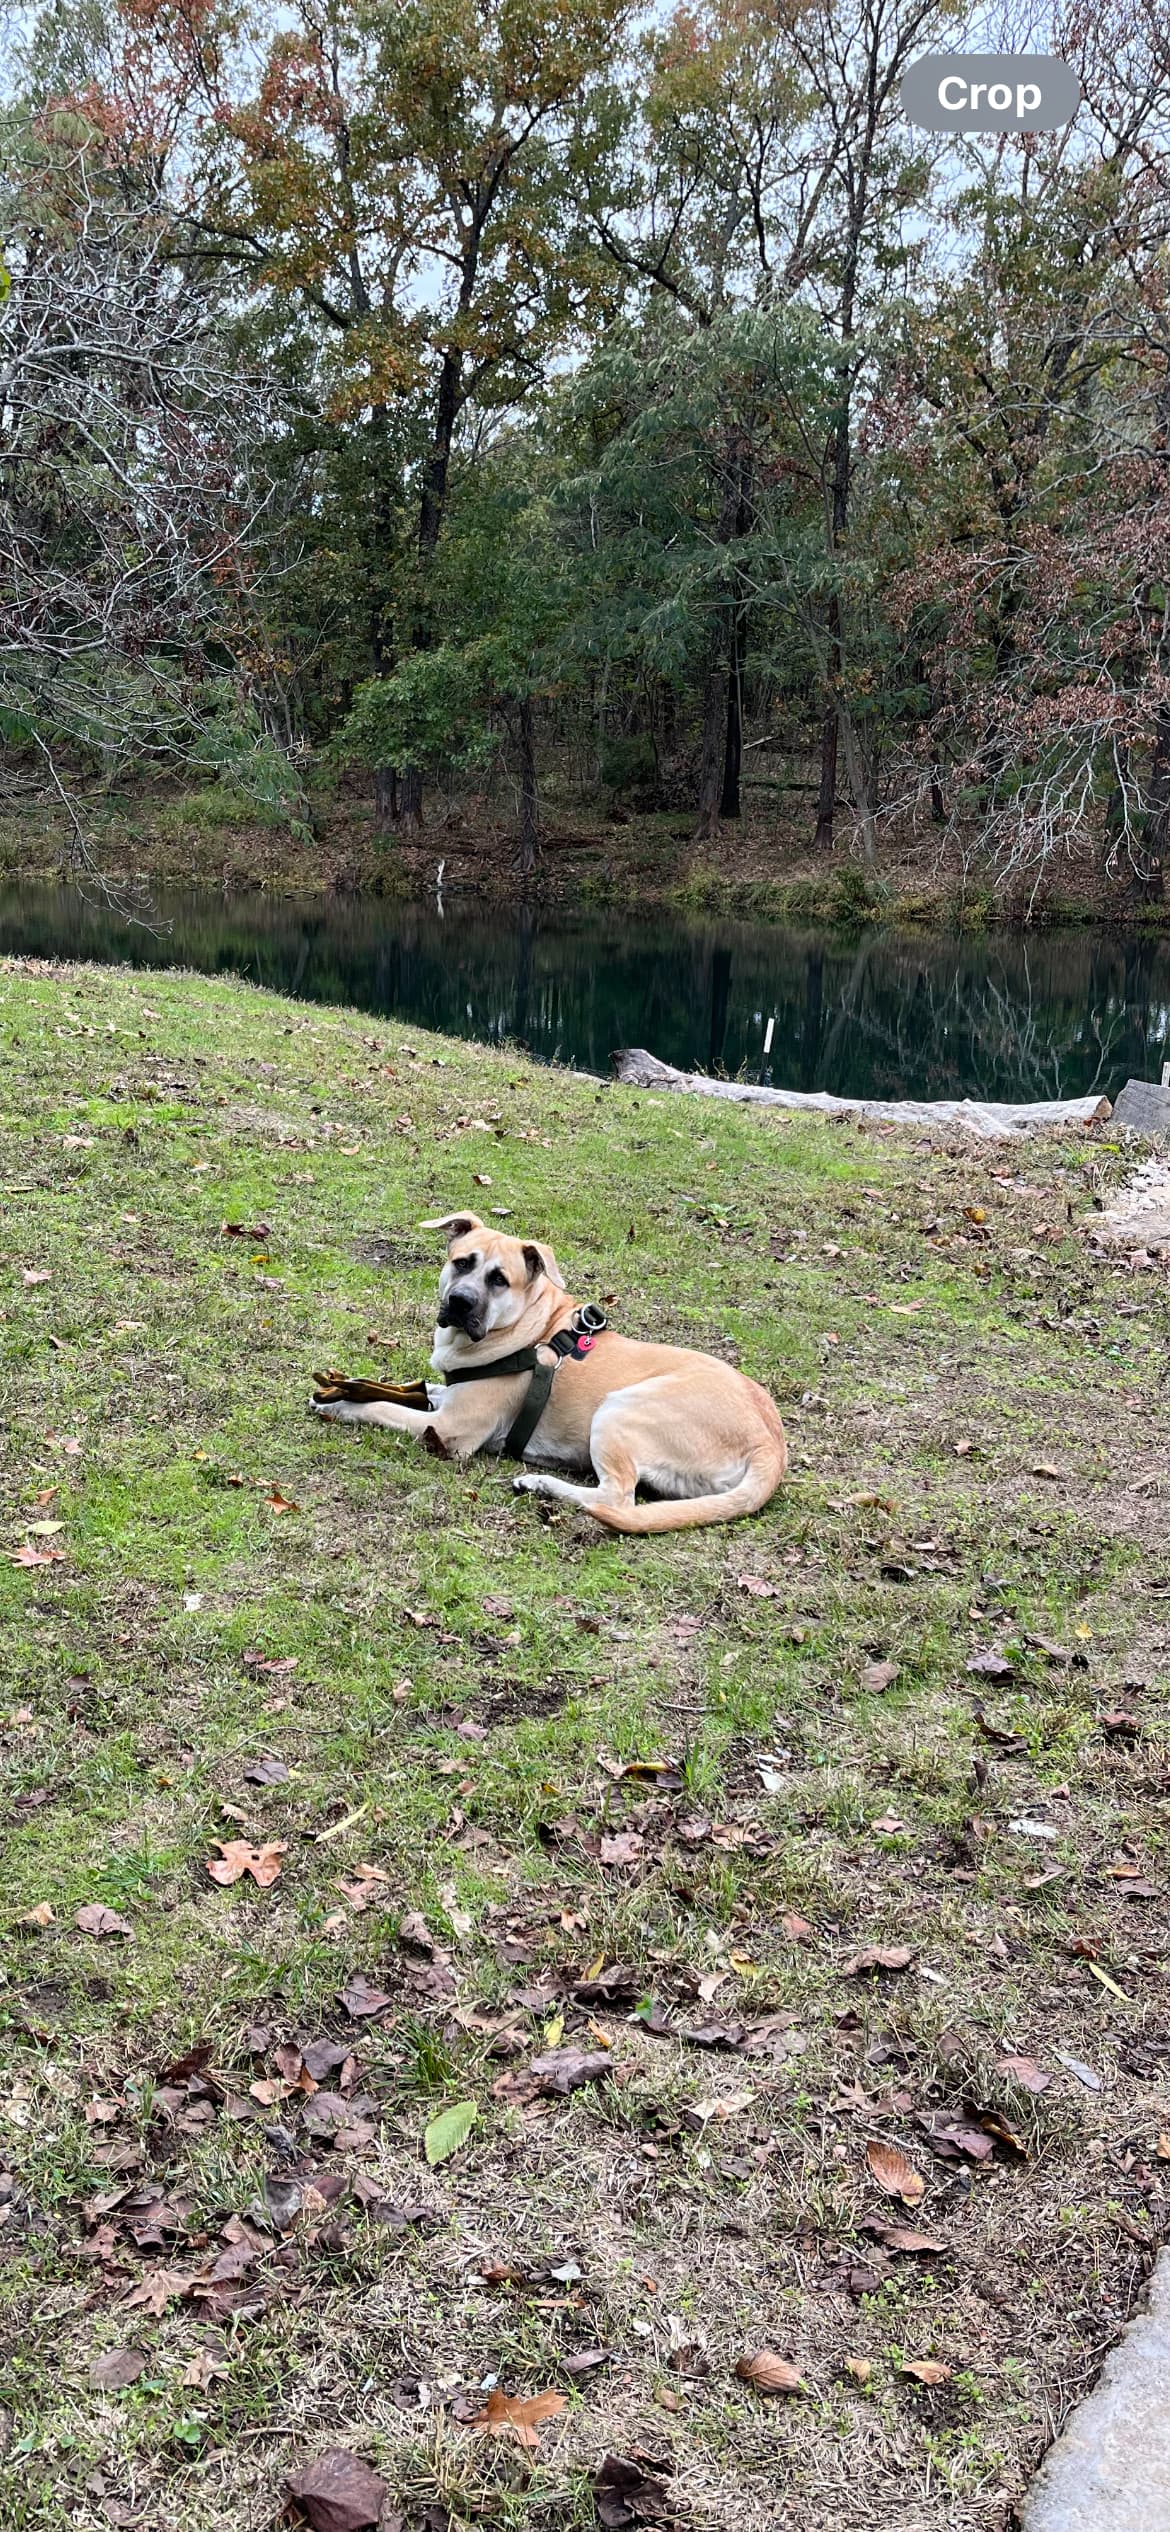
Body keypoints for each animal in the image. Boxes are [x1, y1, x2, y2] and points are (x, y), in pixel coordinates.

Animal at [312, 1210, 785, 1539]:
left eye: (499, 1279)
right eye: (462, 1263)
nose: (460, 1303)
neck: (528, 1328)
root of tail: (770, 1446)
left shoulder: (449, 1429)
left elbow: (381, 1407)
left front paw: (343, 1404)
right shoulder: (448, 1398)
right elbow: (410, 1390)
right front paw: (349, 1386)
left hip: (620, 1409)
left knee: (618, 1499)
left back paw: (541, 1483)